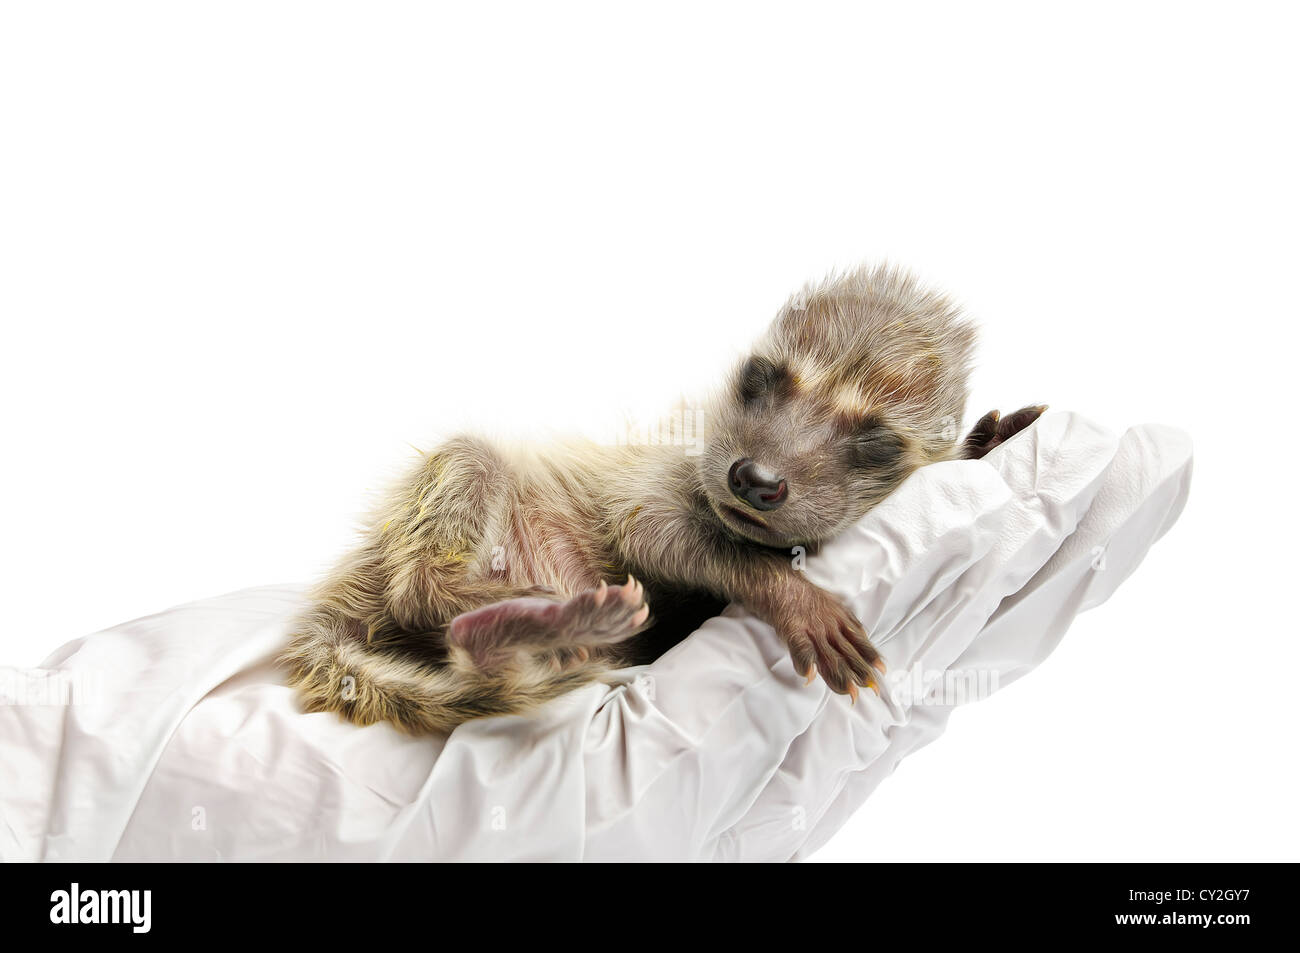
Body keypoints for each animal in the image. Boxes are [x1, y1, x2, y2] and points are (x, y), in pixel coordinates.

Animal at [282, 265, 1044, 733]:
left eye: (876, 441)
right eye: (761, 379)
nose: (754, 480)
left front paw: (979, 445)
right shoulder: (669, 462)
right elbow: (649, 529)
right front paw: (787, 591)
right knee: (454, 507)